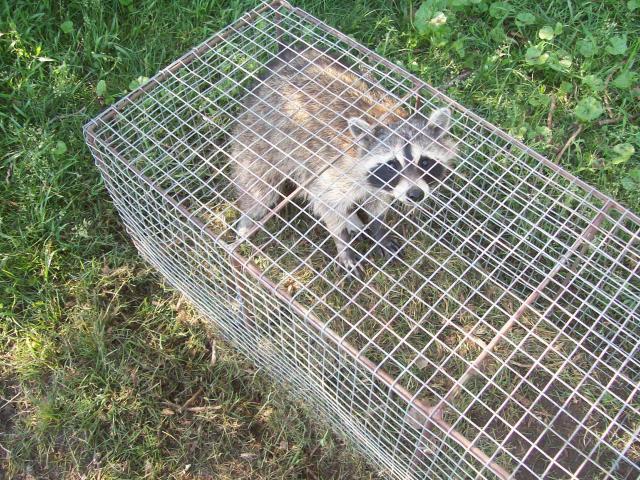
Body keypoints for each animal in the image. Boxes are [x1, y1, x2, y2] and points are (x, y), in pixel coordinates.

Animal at [230, 46, 457, 275]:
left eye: (425, 162)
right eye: (393, 164)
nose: (415, 194)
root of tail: (283, 56)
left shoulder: (382, 184)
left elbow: (377, 205)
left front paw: (378, 230)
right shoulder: (333, 172)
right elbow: (327, 206)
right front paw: (343, 244)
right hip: (258, 142)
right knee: (258, 190)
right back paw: (247, 219)